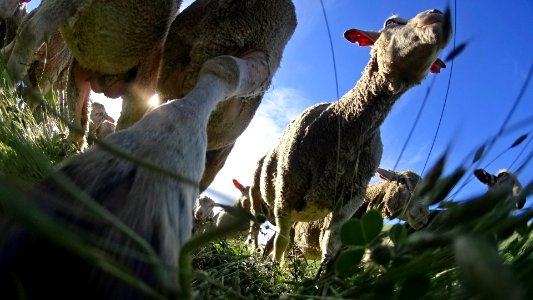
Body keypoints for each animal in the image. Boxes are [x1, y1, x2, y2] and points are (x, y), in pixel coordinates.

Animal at [248, 8, 448, 264]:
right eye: (391, 22)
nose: (436, 16)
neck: (345, 127)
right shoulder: (286, 193)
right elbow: (281, 241)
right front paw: (272, 269)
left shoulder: (349, 200)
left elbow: (331, 247)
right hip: (259, 202)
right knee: (258, 230)